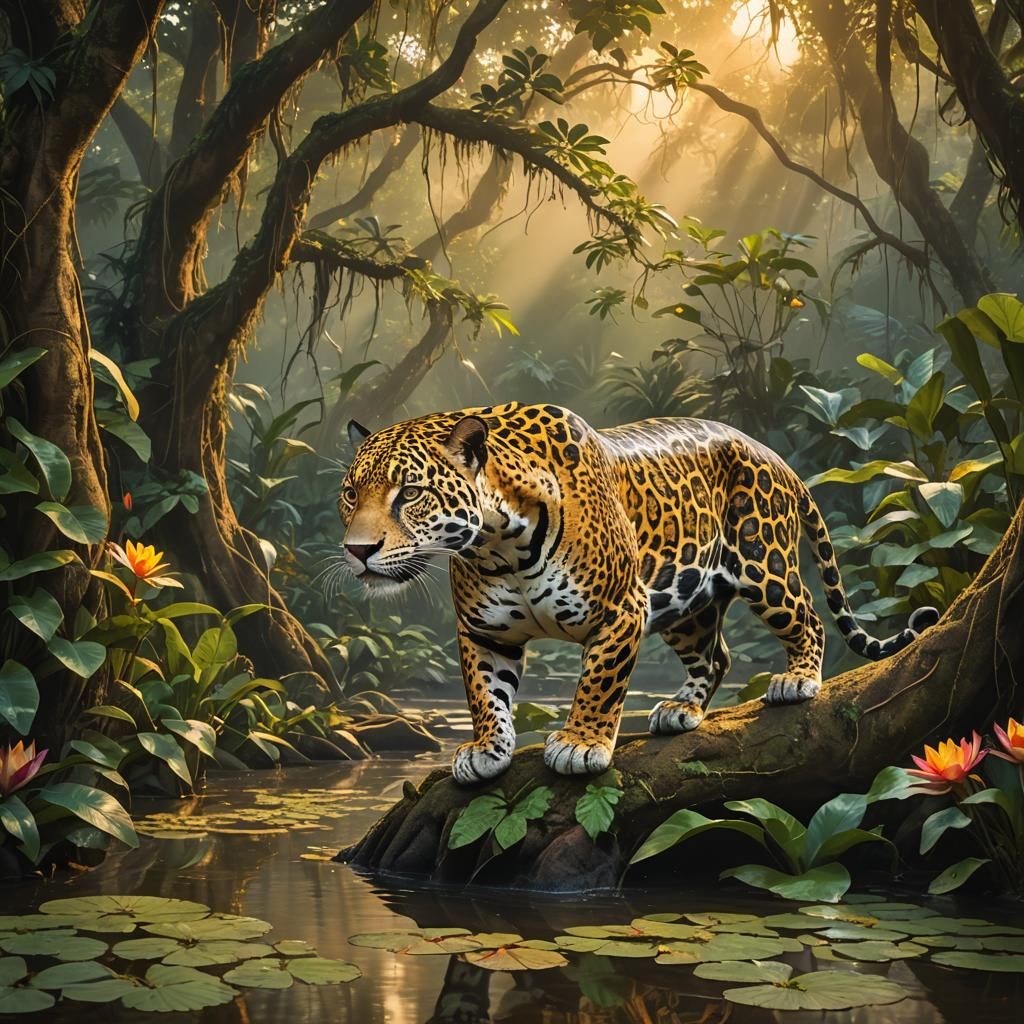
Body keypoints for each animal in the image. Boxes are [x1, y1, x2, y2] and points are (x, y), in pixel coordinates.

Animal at [338, 402, 939, 784]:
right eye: (349, 494)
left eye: (409, 493)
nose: (357, 550)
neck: (497, 542)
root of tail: (770, 453)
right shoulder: (484, 630)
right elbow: (486, 694)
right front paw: (487, 750)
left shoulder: (622, 611)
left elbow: (599, 685)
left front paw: (580, 744)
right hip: (687, 599)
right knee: (717, 655)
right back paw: (681, 710)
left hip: (762, 564)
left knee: (808, 617)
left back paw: (796, 680)